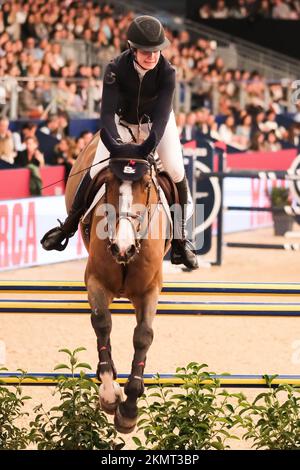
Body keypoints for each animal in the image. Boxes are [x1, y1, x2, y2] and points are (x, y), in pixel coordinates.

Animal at [65, 129, 170, 434]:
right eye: (108, 183)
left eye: (146, 185)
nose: (122, 248)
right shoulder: (96, 281)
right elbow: (102, 324)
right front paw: (110, 394)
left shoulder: (149, 290)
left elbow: (143, 336)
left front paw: (129, 410)